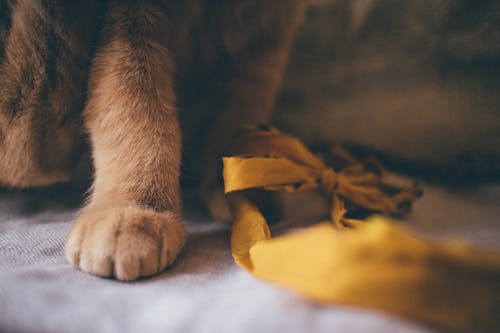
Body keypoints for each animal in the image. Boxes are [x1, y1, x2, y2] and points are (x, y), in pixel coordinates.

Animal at [0, 0, 304, 280]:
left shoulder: (263, 37)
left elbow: (239, 112)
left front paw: (244, 181)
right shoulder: (132, 25)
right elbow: (135, 107)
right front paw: (134, 211)